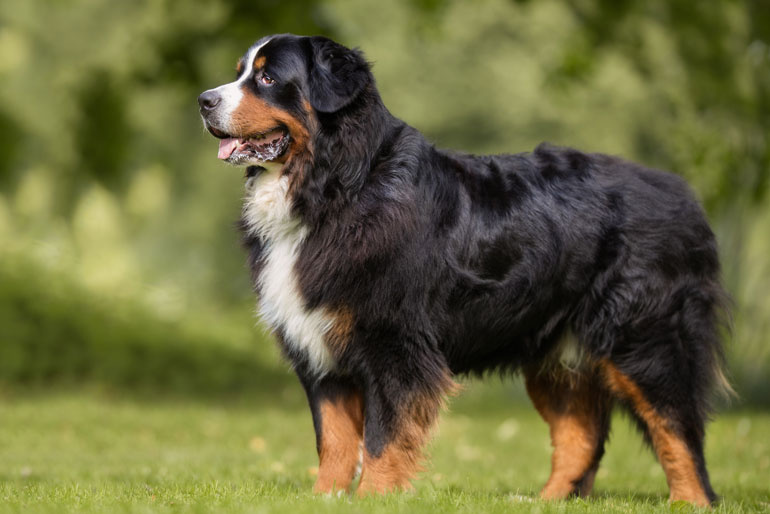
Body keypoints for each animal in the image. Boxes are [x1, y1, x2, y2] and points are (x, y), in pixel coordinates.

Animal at [196, 34, 728, 502]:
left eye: (267, 78)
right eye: (240, 72)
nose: (203, 100)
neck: (337, 188)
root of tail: (683, 195)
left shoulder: (395, 345)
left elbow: (383, 436)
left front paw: (374, 497)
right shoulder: (321, 349)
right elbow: (335, 440)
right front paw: (325, 499)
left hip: (645, 340)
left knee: (677, 430)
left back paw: (689, 500)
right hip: (556, 355)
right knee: (581, 436)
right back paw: (542, 501)